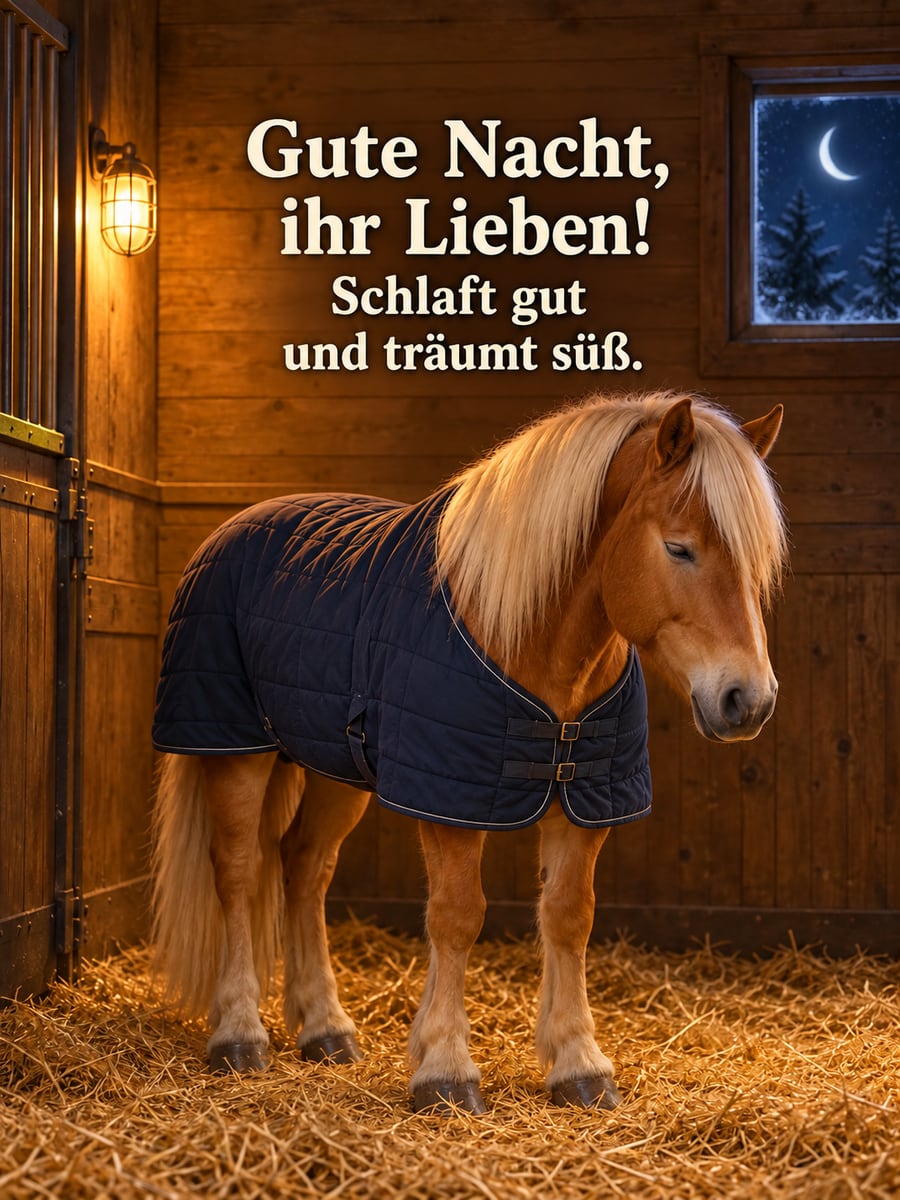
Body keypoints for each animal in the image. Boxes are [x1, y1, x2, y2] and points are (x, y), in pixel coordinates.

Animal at [151, 390, 787, 1115]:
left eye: (756, 561)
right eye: (679, 548)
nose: (749, 700)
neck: (521, 629)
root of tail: (234, 529)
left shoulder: (585, 802)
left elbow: (569, 917)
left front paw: (578, 1064)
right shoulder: (449, 800)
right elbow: (456, 918)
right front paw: (446, 1071)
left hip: (335, 774)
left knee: (303, 869)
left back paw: (325, 1028)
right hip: (236, 750)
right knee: (236, 870)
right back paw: (238, 1033)